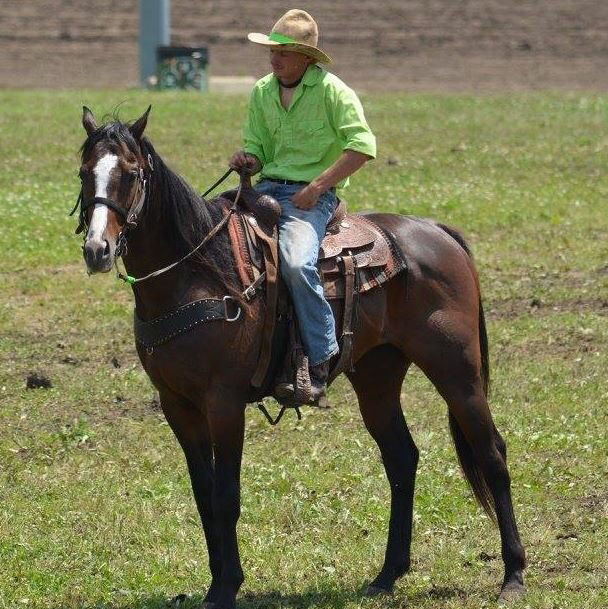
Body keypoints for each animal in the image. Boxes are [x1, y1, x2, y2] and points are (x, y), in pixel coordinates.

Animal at [75, 106, 525, 608]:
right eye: (84, 172)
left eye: (131, 173)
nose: (97, 249)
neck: (198, 273)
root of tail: (438, 233)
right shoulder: (177, 404)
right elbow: (204, 494)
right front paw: (215, 583)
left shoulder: (224, 402)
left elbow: (226, 495)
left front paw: (228, 586)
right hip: (378, 376)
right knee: (401, 458)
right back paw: (387, 574)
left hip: (457, 370)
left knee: (491, 454)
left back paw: (512, 574)